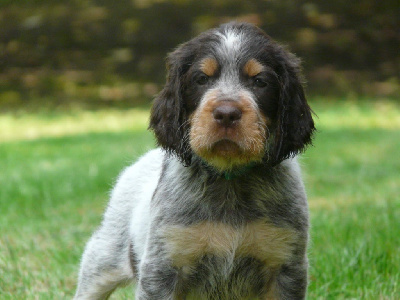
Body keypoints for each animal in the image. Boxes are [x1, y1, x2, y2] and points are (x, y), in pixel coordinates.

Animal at [74, 22, 316, 298]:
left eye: (260, 82)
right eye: (201, 79)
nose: (226, 114)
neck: (229, 180)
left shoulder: (286, 265)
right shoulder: (163, 266)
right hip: (103, 259)